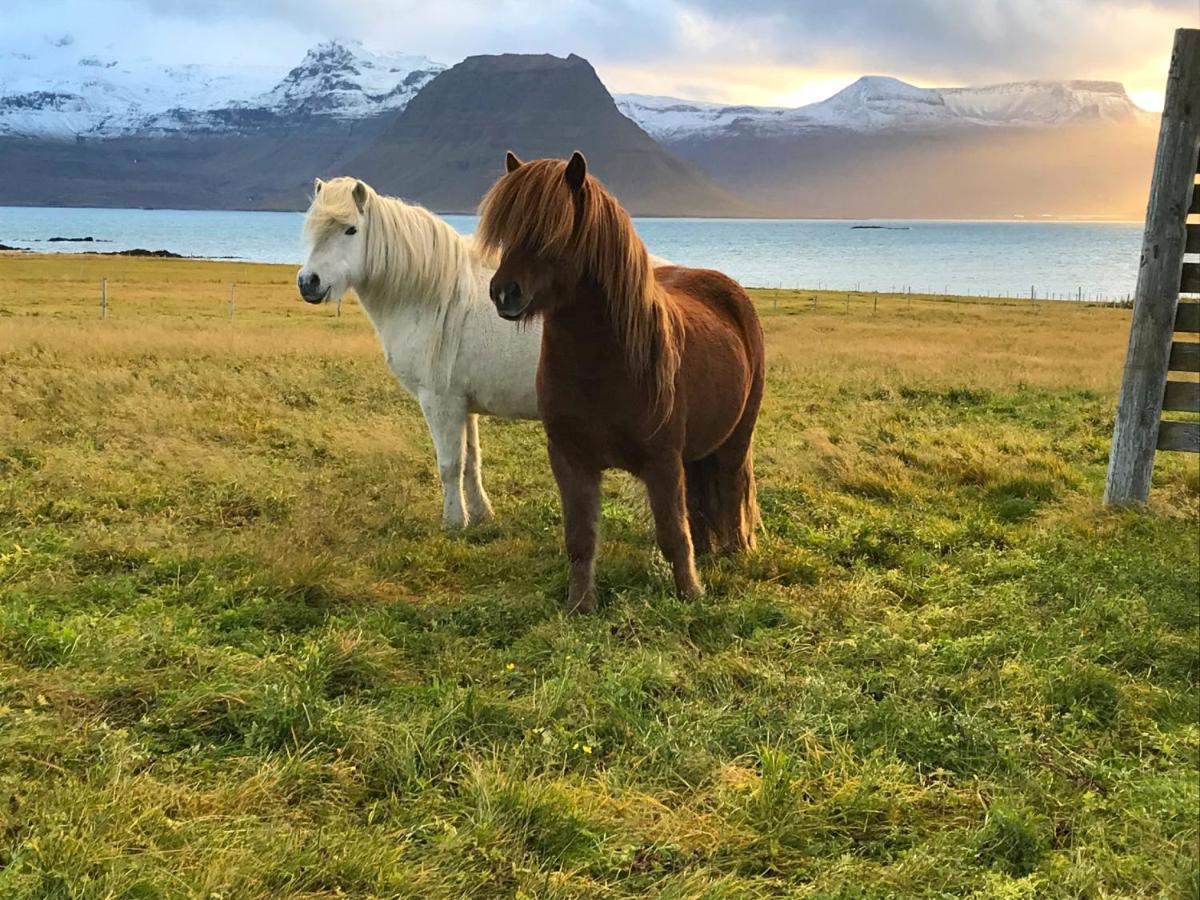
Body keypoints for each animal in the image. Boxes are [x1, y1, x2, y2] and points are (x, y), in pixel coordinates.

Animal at [297, 177, 542, 528]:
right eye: (314, 228)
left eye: (351, 230)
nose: (308, 282)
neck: (435, 296)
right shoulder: (464, 404)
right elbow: (472, 461)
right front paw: (480, 514)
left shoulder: (440, 401)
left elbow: (450, 465)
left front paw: (454, 522)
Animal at [475, 153, 763, 614]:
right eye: (507, 231)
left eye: (554, 229)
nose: (504, 293)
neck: (603, 367)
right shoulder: (570, 459)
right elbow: (580, 539)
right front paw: (580, 604)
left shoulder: (662, 460)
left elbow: (672, 533)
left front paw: (690, 594)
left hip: (736, 438)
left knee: (732, 486)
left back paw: (736, 552)